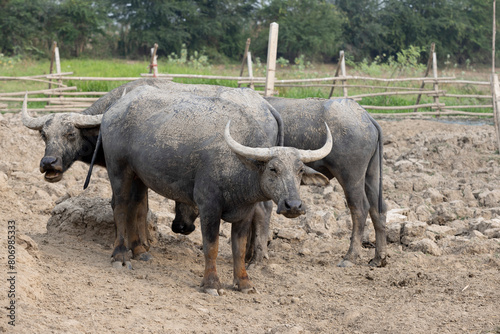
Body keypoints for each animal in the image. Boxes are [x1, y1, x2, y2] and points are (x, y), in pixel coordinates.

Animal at [100, 85, 332, 294]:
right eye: (273, 169)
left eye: (300, 170)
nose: (293, 205)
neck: (239, 165)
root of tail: (114, 109)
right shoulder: (209, 208)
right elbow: (211, 247)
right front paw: (212, 284)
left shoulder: (245, 213)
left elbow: (238, 249)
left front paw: (244, 283)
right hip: (118, 169)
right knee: (120, 206)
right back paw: (120, 255)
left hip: (139, 176)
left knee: (136, 205)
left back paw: (140, 251)